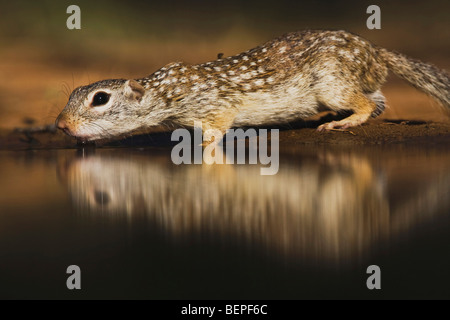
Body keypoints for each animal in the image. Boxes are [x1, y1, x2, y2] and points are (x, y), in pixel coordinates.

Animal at [56, 30, 450, 144]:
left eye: (100, 99)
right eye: (73, 95)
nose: (60, 125)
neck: (164, 93)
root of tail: (376, 53)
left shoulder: (214, 107)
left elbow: (216, 131)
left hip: (333, 85)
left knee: (367, 104)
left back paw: (342, 122)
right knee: (378, 100)